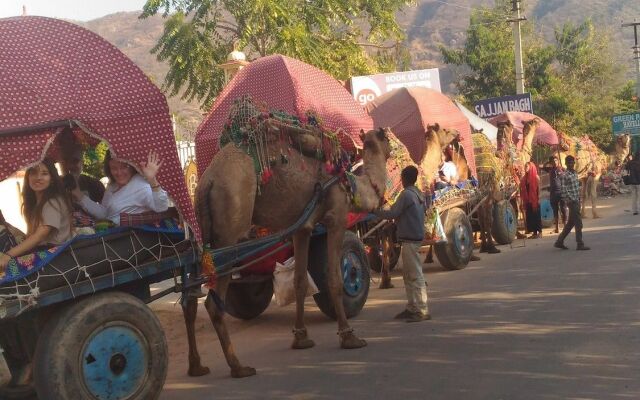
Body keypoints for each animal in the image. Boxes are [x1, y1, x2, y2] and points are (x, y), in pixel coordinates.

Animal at [182, 108, 392, 376]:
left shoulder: (302, 228)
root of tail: (207, 181)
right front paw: (348, 337)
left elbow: (299, 281)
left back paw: (197, 366)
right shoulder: (335, 218)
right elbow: (334, 279)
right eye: (385, 137)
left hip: (204, 235)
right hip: (230, 228)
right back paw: (238, 366)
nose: (394, 146)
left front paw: (301, 338)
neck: (350, 183)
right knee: (212, 303)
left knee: (190, 298)